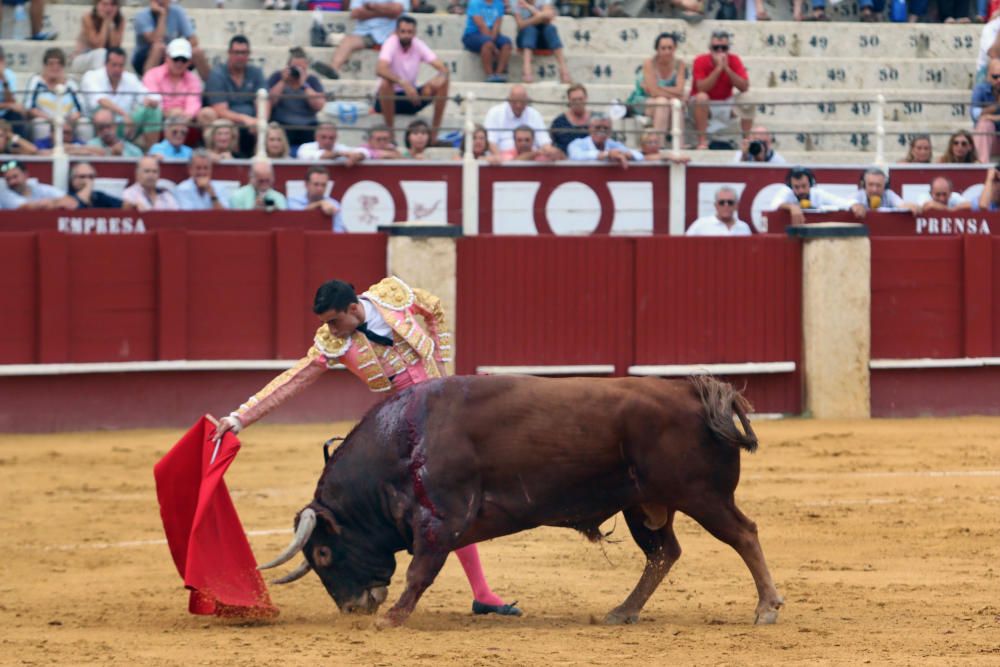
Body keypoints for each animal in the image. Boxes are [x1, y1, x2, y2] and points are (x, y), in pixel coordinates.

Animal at [256, 376, 780, 628]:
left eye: (325, 553)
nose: (353, 608)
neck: (402, 442)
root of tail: (690, 388)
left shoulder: (440, 520)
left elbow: (419, 571)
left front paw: (393, 617)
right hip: (644, 506)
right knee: (664, 553)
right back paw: (622, 611)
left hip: (702, 495)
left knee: (744, 534)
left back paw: (766, 608)